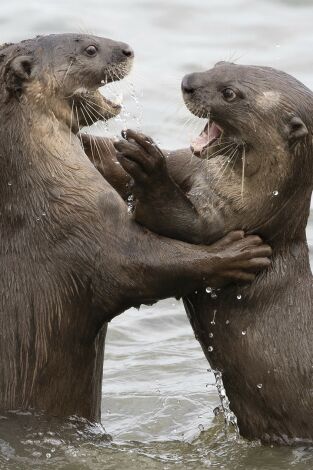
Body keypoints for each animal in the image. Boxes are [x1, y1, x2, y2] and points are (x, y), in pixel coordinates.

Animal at [0, 38, 270, 422]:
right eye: (90, 48)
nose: (127, 49)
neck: (39, 193)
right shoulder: (82, 234)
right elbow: (146, 268)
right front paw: (240, 254)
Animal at [91, 63, 312, 444]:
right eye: (222, 64)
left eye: (230, 93)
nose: (187, 83)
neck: (259, 212)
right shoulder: (189, 167)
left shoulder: (226, 222)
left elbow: (174, 219)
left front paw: (148, 165)